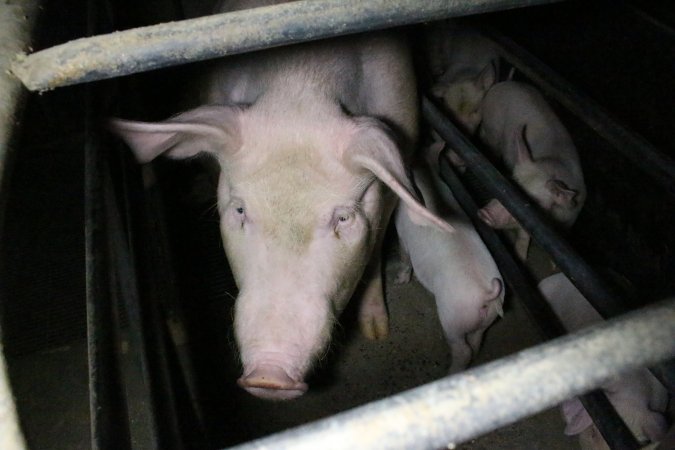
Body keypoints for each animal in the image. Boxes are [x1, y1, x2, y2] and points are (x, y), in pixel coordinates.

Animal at [107, 0, 454, 400]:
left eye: (342, 218)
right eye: (241, 210)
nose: (268, 376)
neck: (302, 83)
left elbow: (374, 250)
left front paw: (377, 332)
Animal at [396, 143, 502, 372]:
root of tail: (487, 293)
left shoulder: (400, 233)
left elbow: (405, 257)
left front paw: (399, 281)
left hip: (454, 317)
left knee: (463, 349)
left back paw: (449, 371)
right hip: (485, 321)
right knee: (477, 341)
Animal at [476, 81, 588, 260]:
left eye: (533, 202)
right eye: (510, 184)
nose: (484, 212)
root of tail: (502, 84)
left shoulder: (570, 219)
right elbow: (523, 237)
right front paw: (521, 258)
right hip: (492, 127)